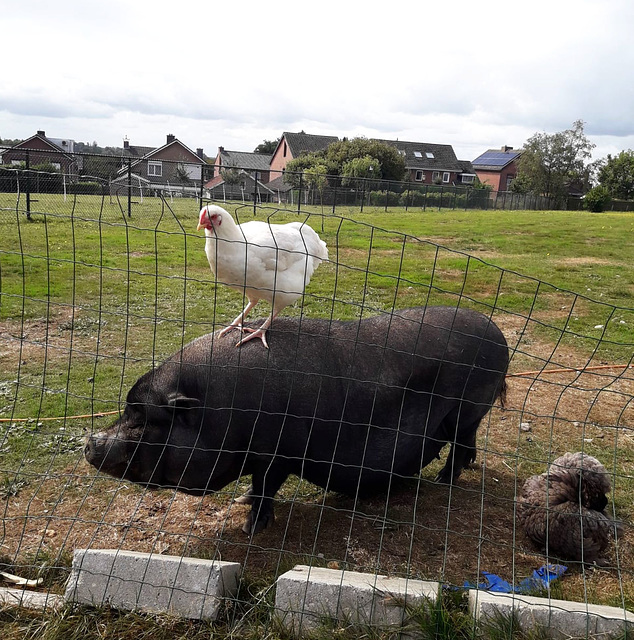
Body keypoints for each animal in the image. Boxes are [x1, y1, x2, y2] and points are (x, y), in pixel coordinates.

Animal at [85, 308, 508, 536]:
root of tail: (497, 333)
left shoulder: (276, 454)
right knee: (467, 446)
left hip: (467, 410)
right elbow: (256, 488)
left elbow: (266, 487)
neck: (220, 412)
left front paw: (249, 528)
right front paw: (240, 501)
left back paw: (443, 483)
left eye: (141, 419)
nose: (89, 441)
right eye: (127, 411)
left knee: (462, 447)